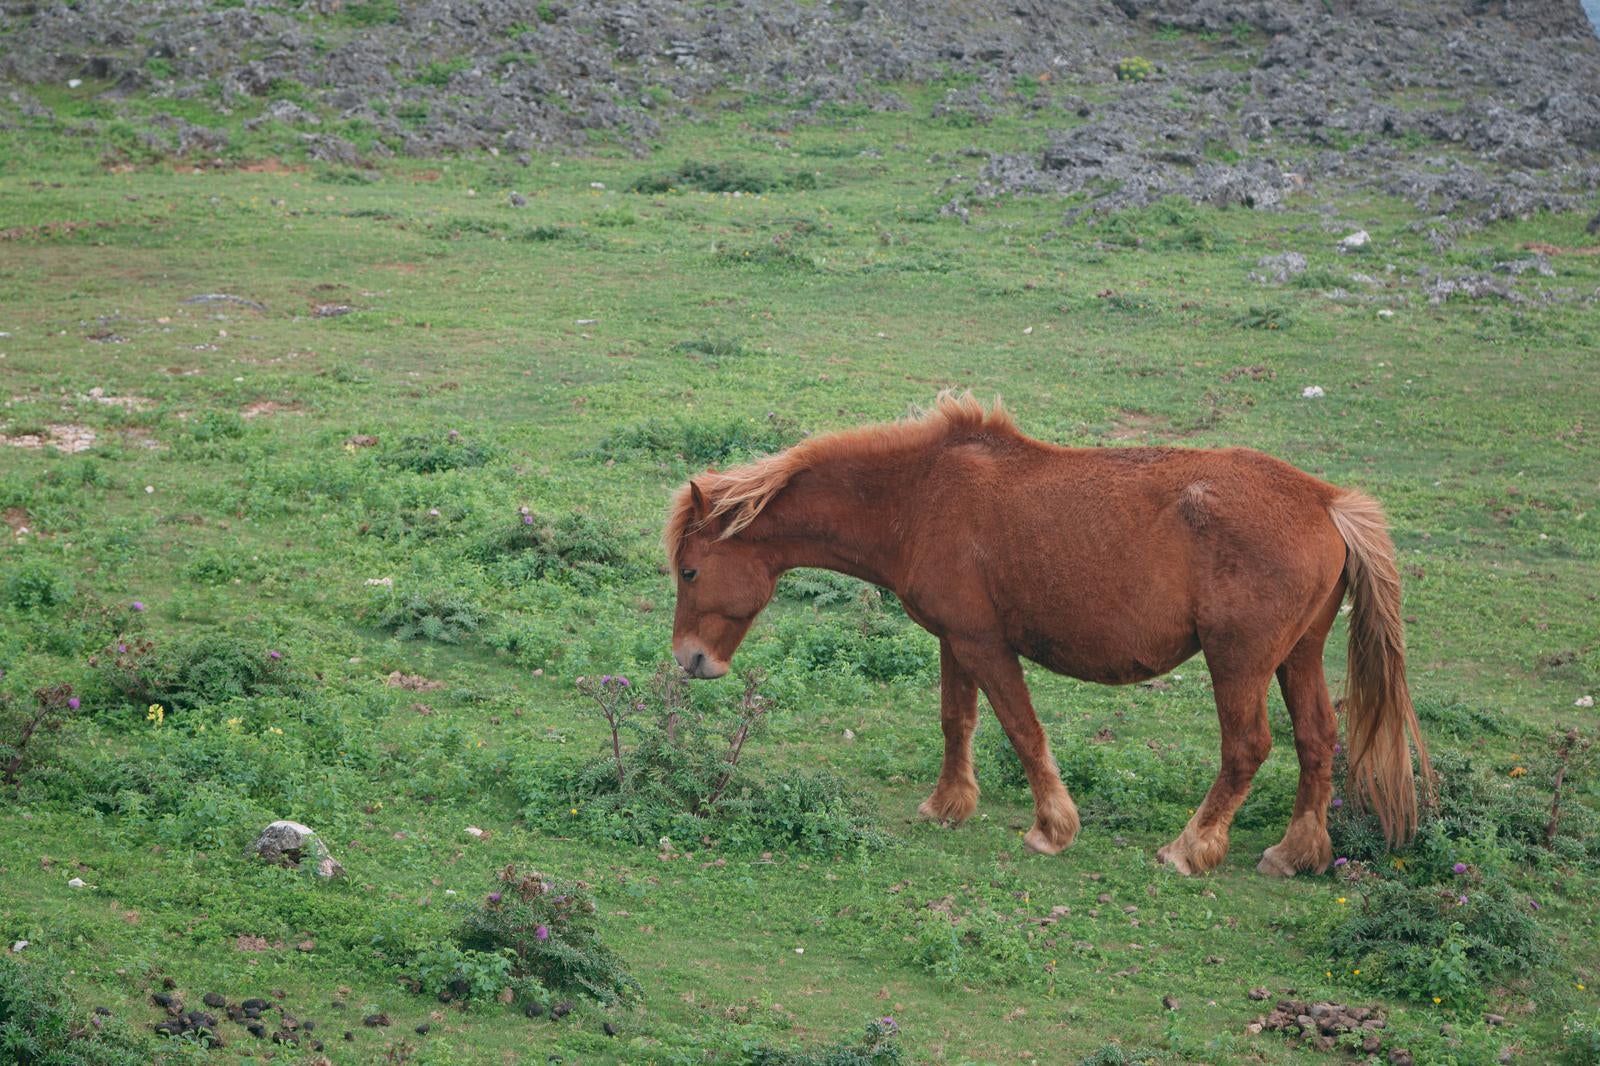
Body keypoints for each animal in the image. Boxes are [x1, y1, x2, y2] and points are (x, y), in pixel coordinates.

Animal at [664, 392, 1433, 876]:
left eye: (691, 569)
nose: (690, 661)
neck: (921, 497)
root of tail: (1327, 502)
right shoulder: (955, 641)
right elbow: (958, 721)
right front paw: (948, 805)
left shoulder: (984, 644)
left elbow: (1021, 728)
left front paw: (1052, 828)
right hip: (1296, 656)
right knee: (1316, 741)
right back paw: (1296, 852)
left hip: (1238, 663)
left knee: (1247, 749)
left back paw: (1189, 849)